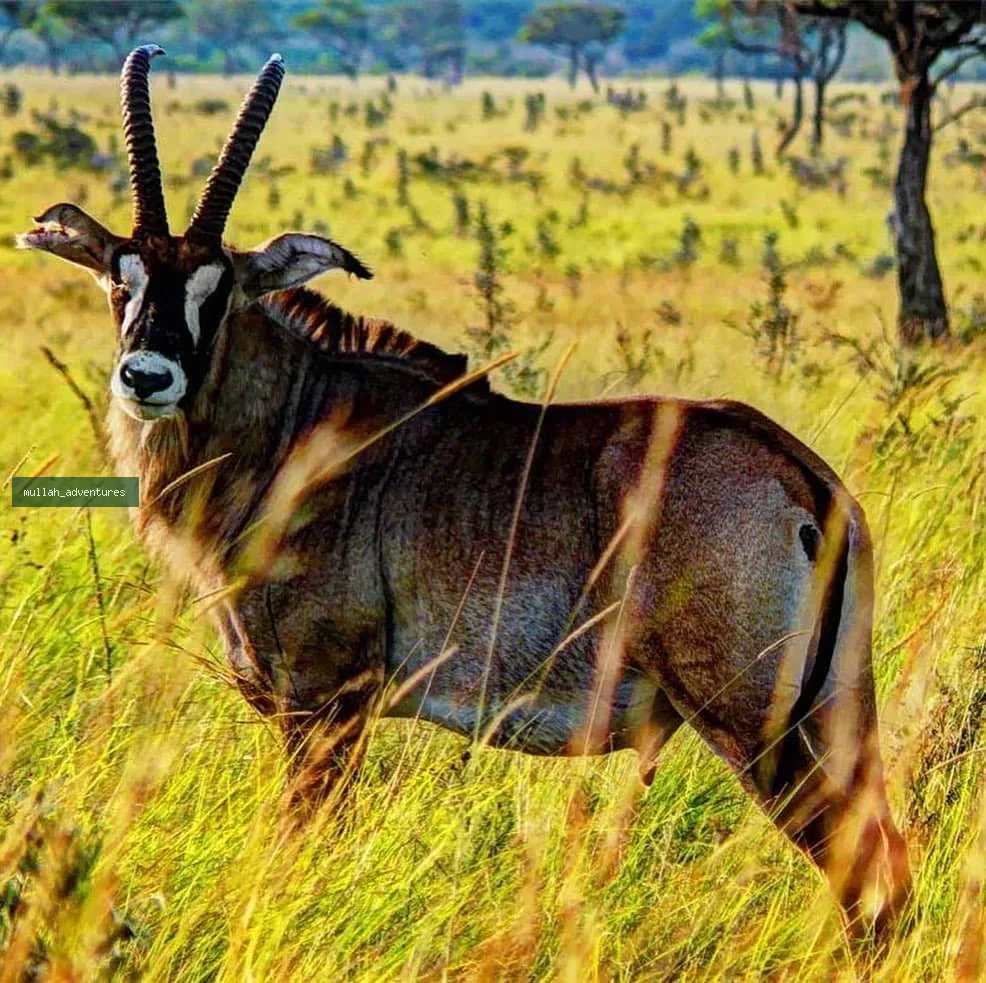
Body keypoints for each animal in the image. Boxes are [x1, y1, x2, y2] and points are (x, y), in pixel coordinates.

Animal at [18, 47, 909, 935]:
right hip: (839, 715)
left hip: (756, 724)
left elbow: (304, 844)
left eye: (221, 289)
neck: (295, 422)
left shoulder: (324, 702)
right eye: (121, 280)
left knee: (866, 882)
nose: (147, 376)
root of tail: (808, 481)